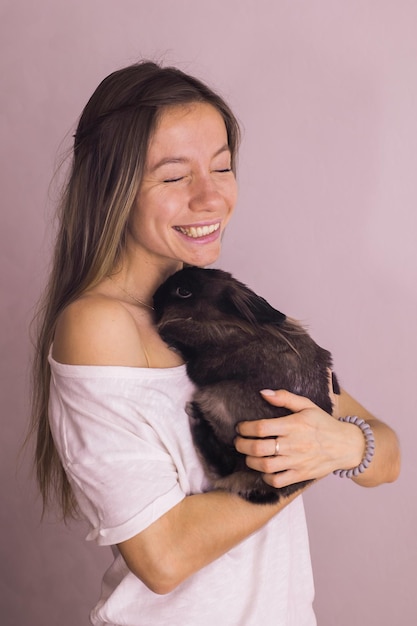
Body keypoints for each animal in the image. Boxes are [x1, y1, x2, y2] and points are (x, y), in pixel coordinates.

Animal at [153, 266, 338, 500]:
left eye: (183, 291)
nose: (154, 298)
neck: (219, 320)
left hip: (216, 397)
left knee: (226, 466)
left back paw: (195, 415)